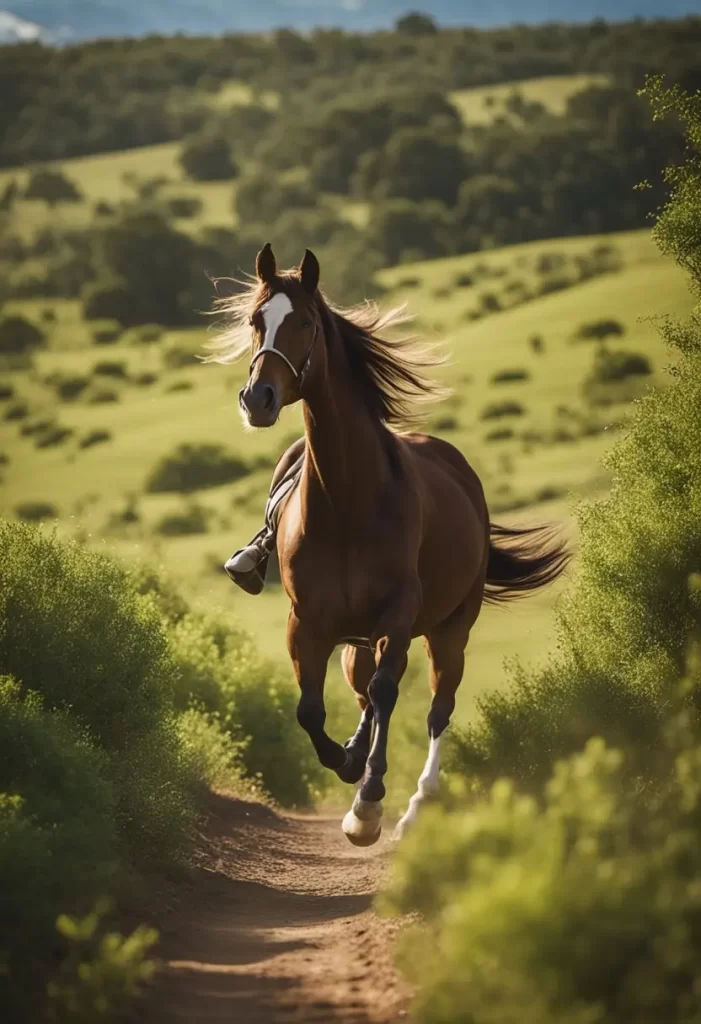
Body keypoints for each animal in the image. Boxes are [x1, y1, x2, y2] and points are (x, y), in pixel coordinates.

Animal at [208, 243, 568, 843]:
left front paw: (368, 806)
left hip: (448, 631)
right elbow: (312, 710)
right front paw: (350, 764)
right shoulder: (307, 621)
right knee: (365, 692)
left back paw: (416, 806)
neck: (347, 499)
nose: (258, 399)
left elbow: (387, 695)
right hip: (358, 639)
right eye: (256, 320)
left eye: (305, 323)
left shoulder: (398, 615)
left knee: (434, 706)